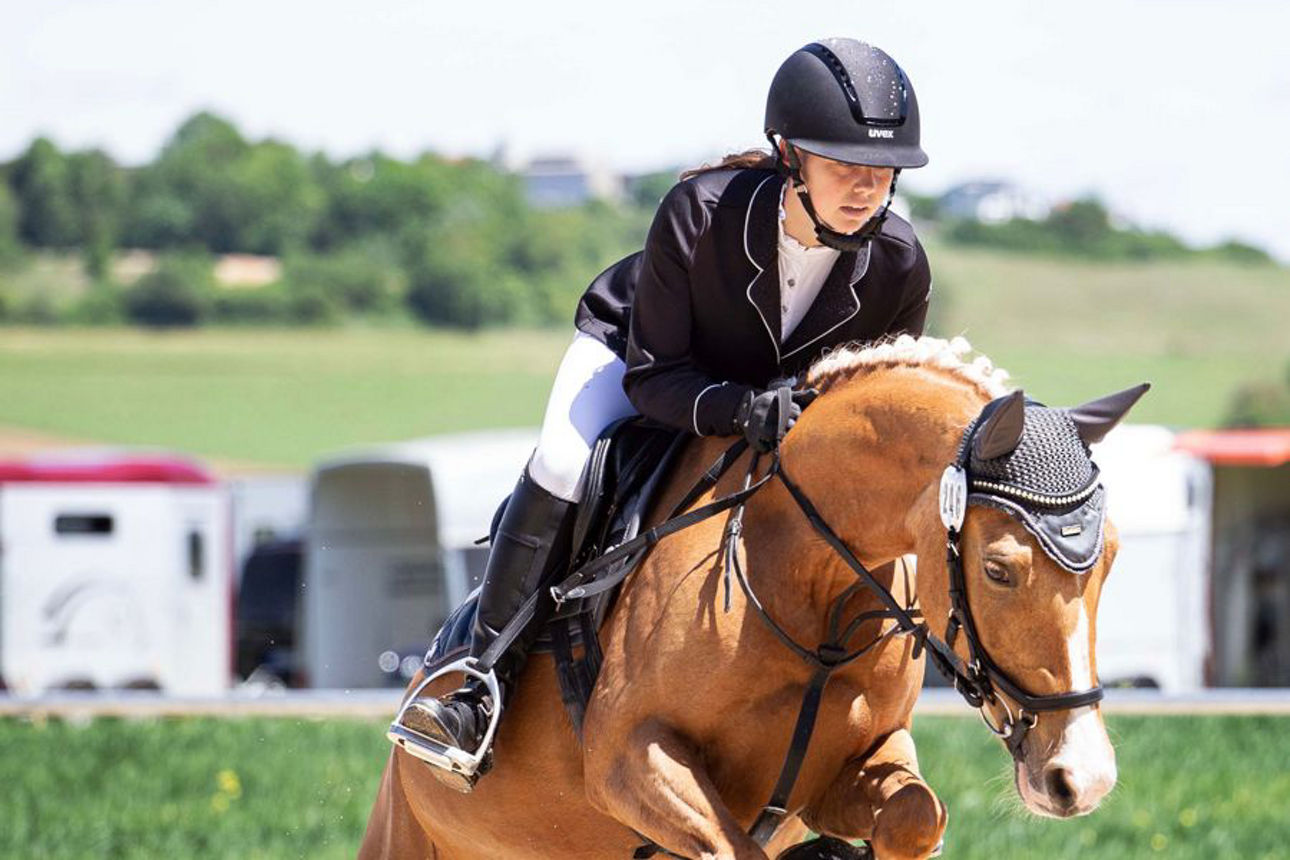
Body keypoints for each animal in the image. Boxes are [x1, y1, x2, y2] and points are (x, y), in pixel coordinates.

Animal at [361, 335, 1139, 860]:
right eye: (999, 569)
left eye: (1111, 560)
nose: (1083, 779)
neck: (809, 591)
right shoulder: (631, 758)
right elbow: (736, 847)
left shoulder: (855, 764)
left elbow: (915, 815)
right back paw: (453, 715)